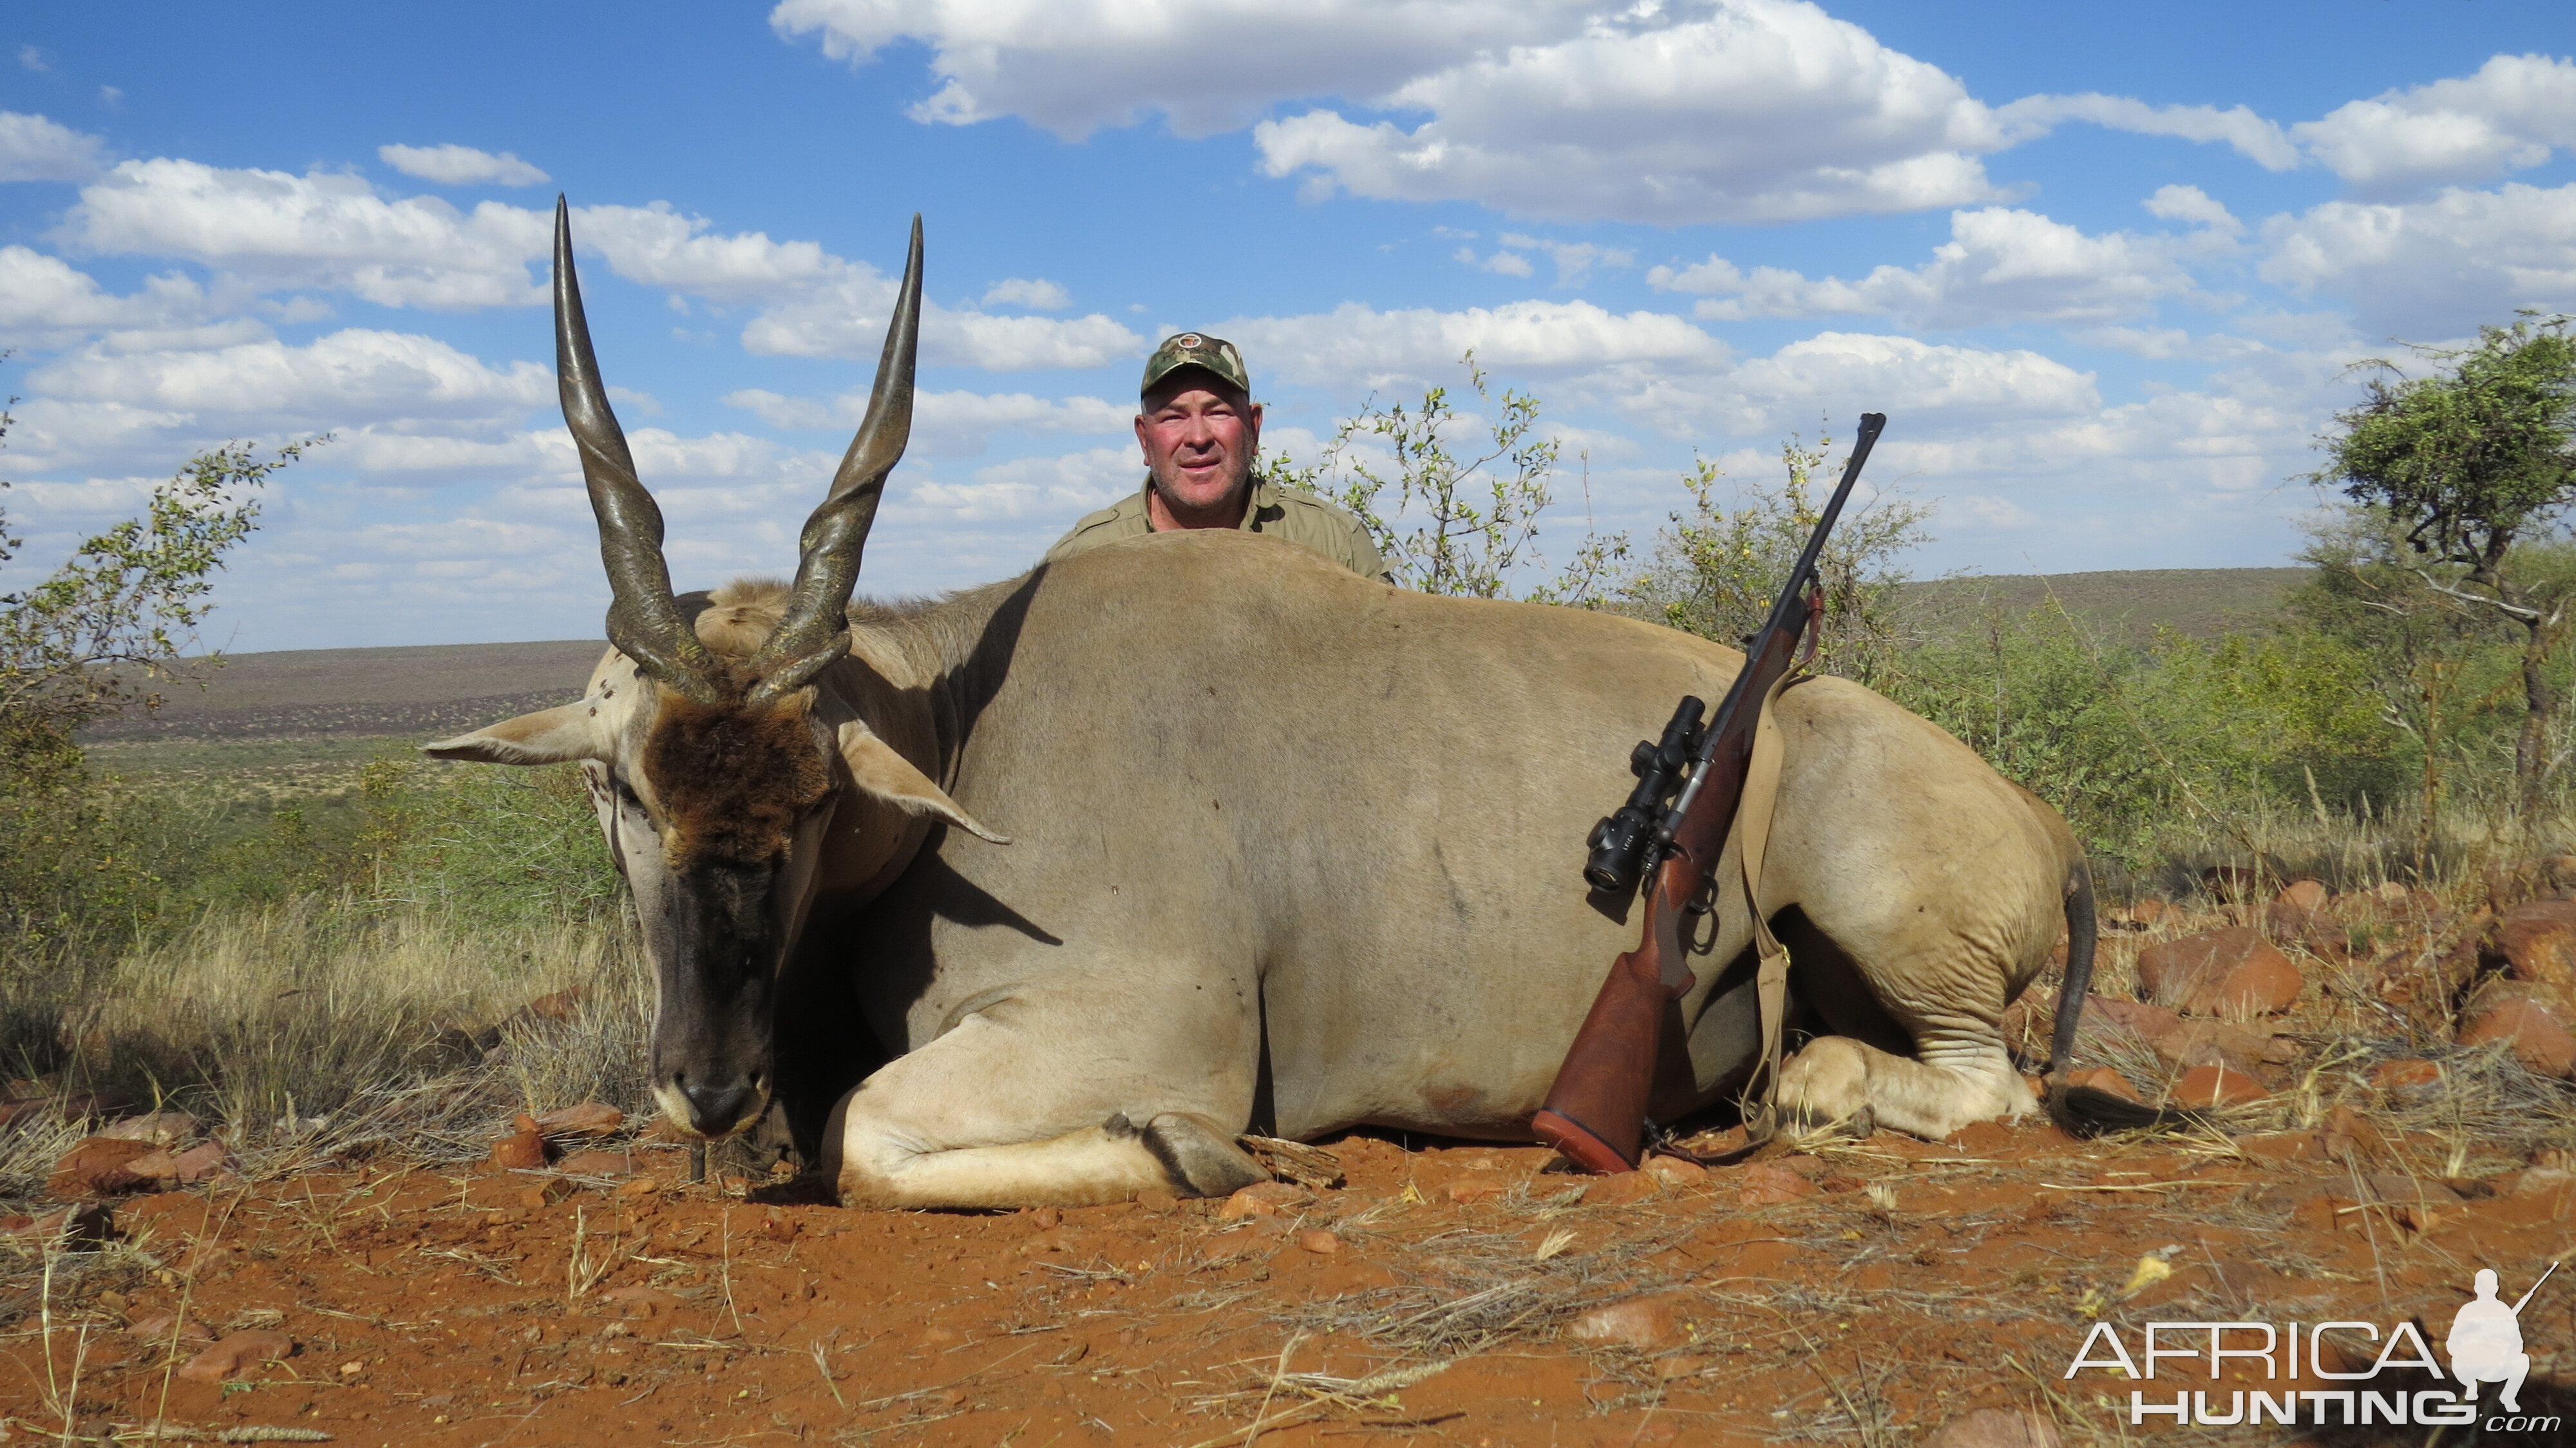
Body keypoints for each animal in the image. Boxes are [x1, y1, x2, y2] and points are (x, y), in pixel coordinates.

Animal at [422, 197, 2123, 1201]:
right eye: (619, 782)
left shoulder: (1140, 1021)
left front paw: (1200, 1155)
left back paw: (1818, 1093)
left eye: (816, 796)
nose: (706, 1084)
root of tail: (2047, 832)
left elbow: (872, 1137)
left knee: (1980, 1088)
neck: (970, 729)